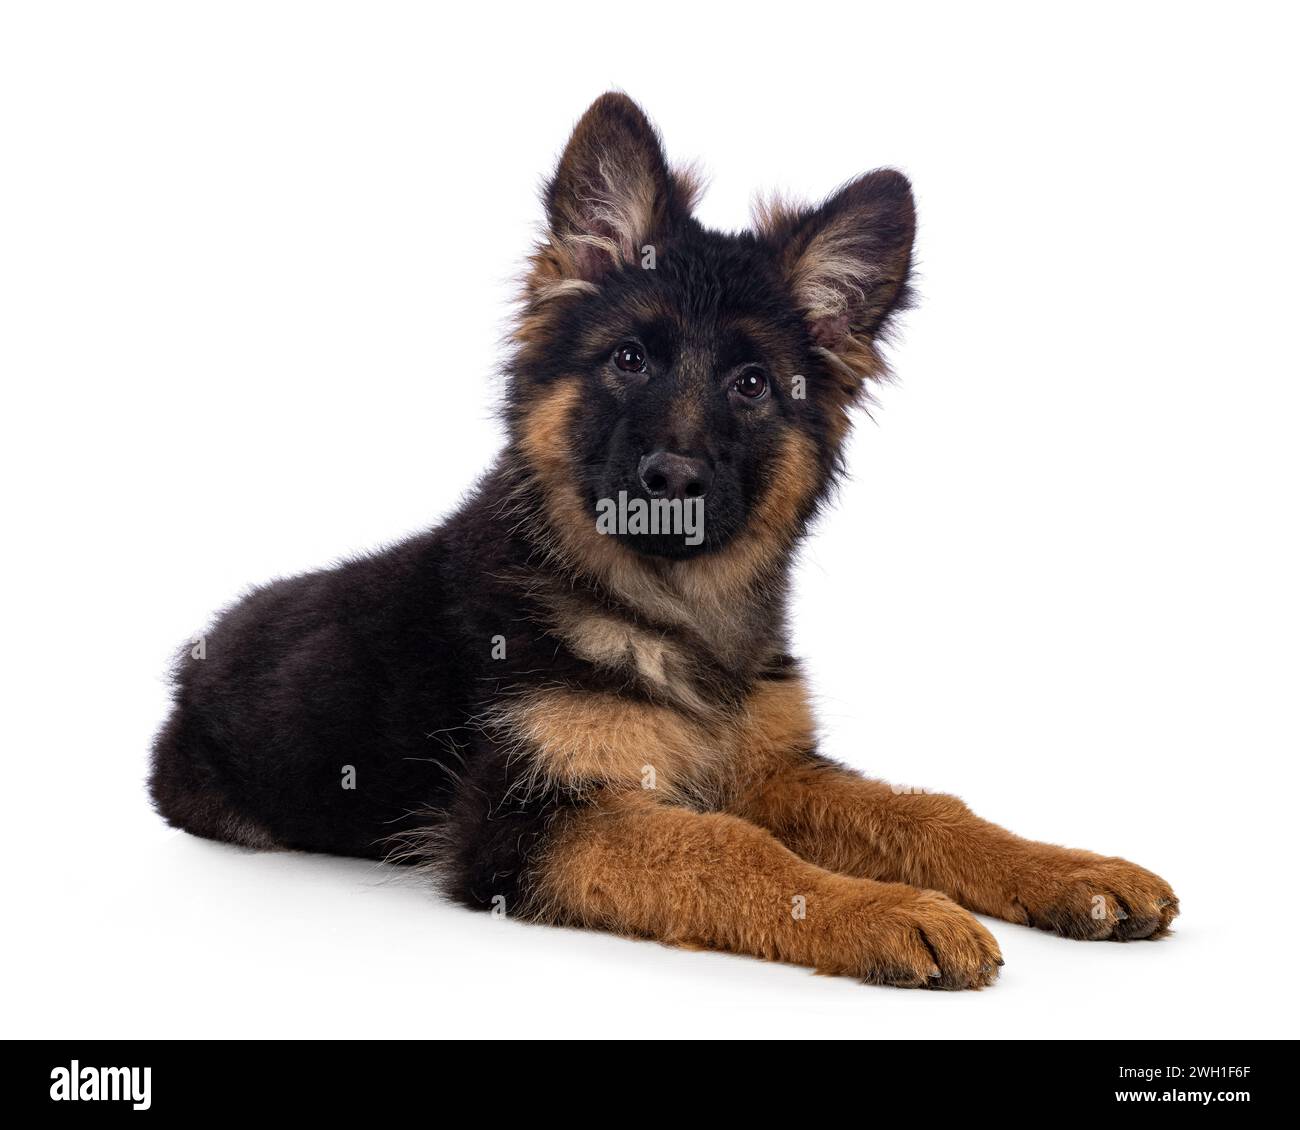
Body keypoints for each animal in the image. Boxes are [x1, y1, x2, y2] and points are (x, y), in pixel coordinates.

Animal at [152, 92, 1180, 983]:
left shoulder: (764, 765)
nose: (672, 483)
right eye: (629, 359)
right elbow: (732, 851)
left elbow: (924, 811)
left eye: (753, 385)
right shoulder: (532, 816)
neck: (664, 611)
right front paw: (887, 910)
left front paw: (1068, 870)